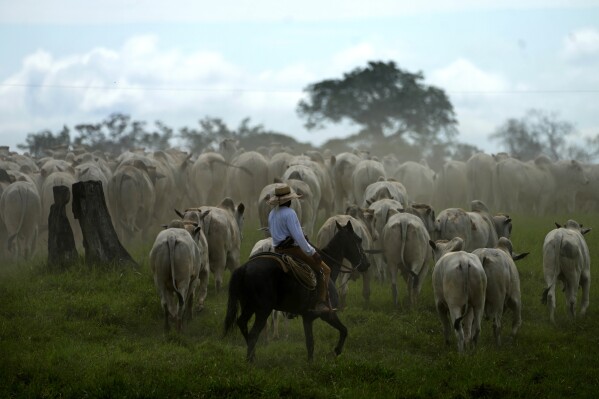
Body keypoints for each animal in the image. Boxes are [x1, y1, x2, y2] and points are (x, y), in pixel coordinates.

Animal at [223, 222, 368, 362]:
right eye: (359, 239)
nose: (367, 264)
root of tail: (244, 268)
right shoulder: (326, 314)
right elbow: (343, 331)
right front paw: (336, 351)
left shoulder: (307, 317)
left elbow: (310, 343)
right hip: (263, 310)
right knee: (253, 334)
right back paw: (251, 360)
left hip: (249, 306)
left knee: (243, 324)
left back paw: (253, 355)